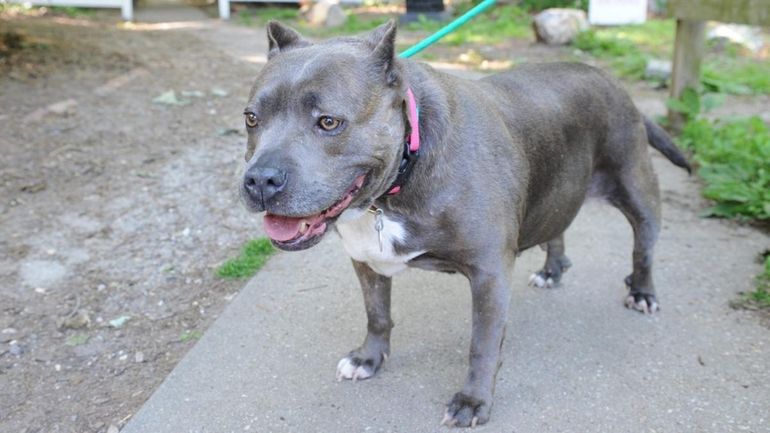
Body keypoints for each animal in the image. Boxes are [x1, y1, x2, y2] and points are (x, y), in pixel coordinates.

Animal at [240, 20, 688, 426]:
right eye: (250, 118)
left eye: (329, 122)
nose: (260, 180)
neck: (406, 166)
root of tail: (612, 82)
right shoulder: (367, 261)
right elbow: (377, 314)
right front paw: (368, 358)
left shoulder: (489, 275)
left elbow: (482, 344)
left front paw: (473, 401)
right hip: (556, 188)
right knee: (556, 229)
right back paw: (551, 270)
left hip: (639, 191)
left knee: (643, 249)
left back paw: (642, 292)